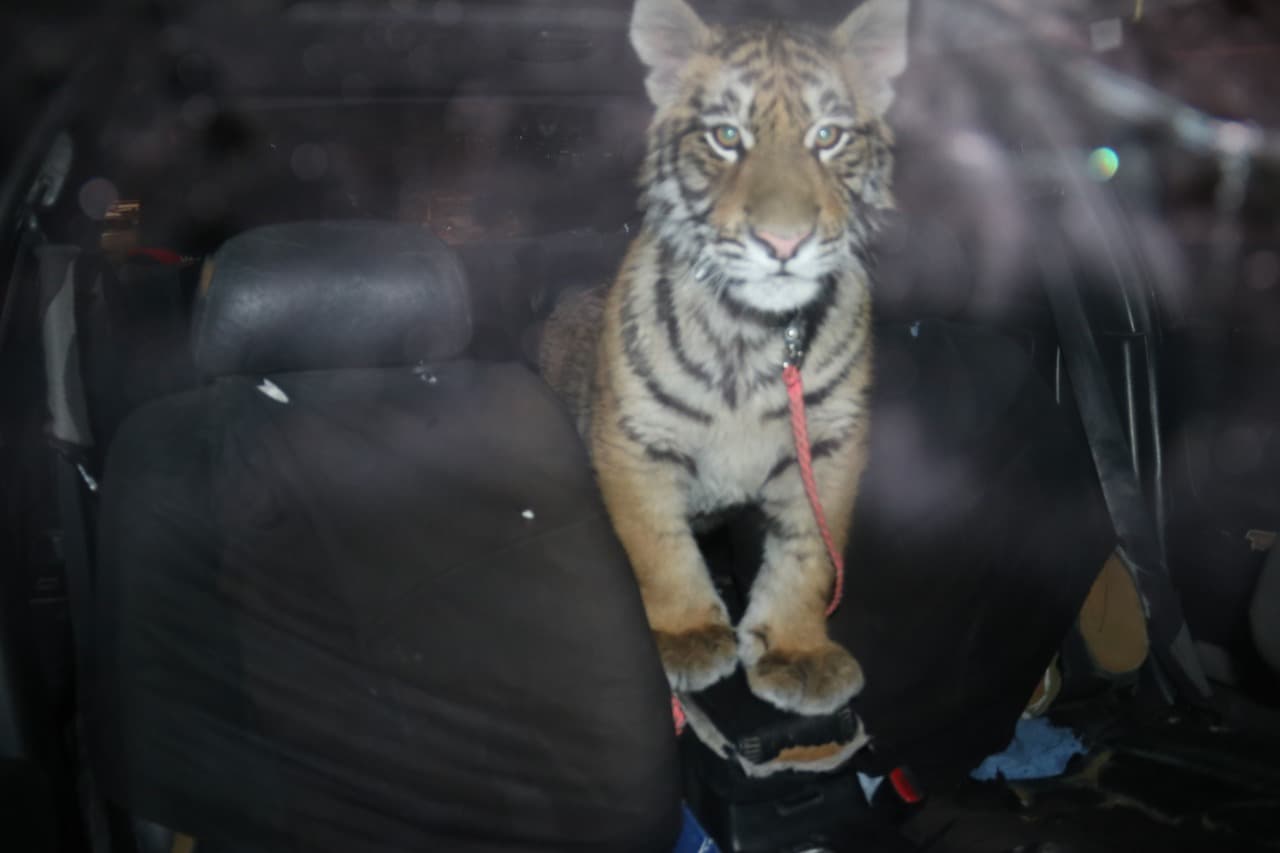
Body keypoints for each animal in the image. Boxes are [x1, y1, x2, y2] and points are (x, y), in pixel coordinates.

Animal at [538, 0, 907, 716]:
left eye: (827, 136)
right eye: (727, 136)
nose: (783, 242)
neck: (755, 337)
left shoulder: (831, 447)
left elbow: (810, 554)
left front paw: (796, 651)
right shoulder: (634, 442)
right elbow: (657, 547)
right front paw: (683, 637)